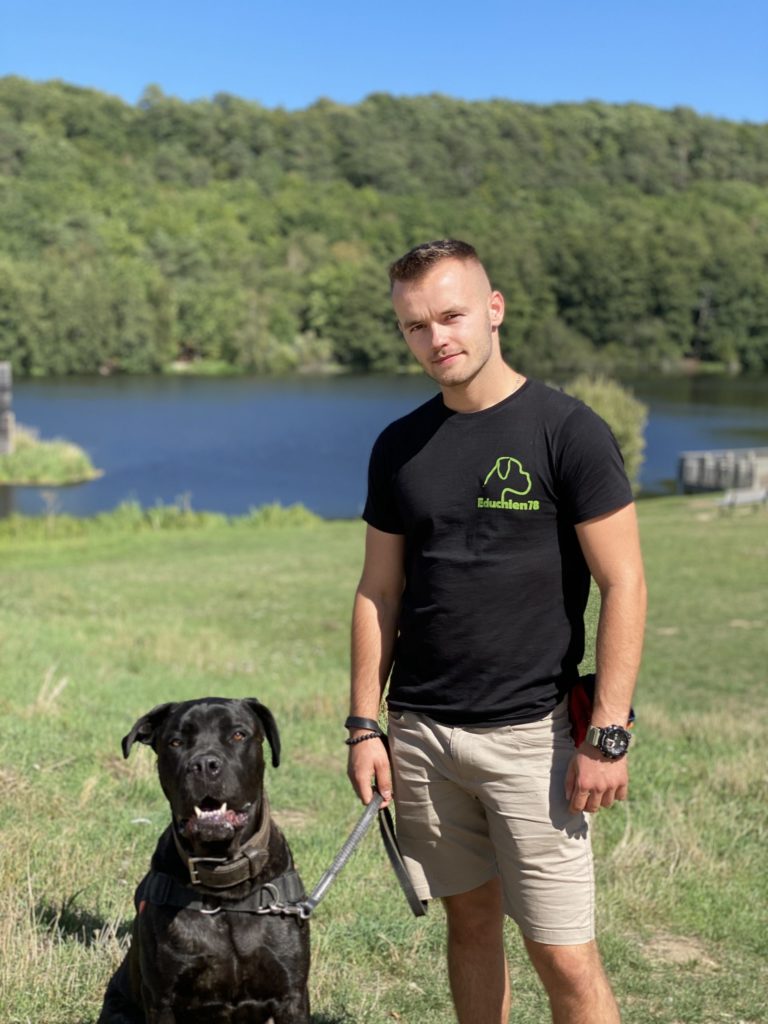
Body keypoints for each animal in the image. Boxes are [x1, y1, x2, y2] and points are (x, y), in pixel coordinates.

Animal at [99, 696, 309, 1024]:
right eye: (175, 742)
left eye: (238, 735)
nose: (204, 765)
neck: (224, 882)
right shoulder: (162, 1000)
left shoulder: (292, 996)